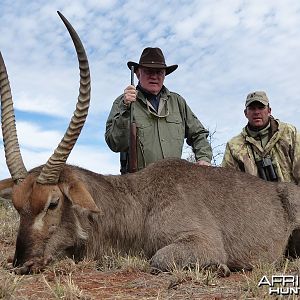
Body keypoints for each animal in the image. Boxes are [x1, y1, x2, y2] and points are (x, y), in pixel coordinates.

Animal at [0, 11, 300, 276]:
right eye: (17, 205)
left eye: (52, 203)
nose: (22, 264)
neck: (139, 203)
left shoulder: (202, 242)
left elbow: (157, 260)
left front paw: (220, 268)